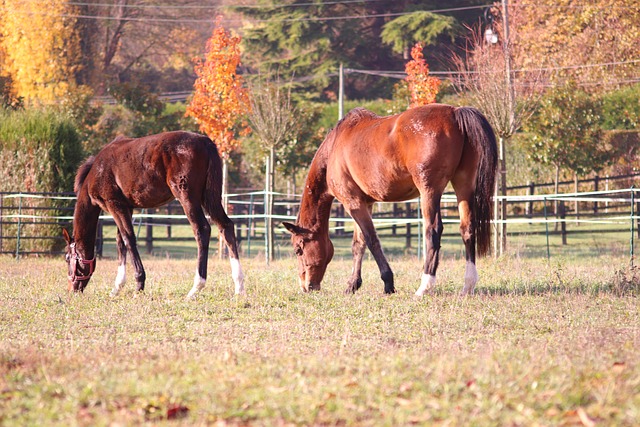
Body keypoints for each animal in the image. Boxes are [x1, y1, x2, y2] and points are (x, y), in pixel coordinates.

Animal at [63, 130, 242, 298]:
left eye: (67, 258)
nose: (72, 289)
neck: (97, 171)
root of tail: (205, 142)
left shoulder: (114, 205)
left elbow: (128, 239)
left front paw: (139, 285)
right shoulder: (127, 207)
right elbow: (120, 241)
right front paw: (117, 287)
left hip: (188, 197)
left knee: (202, 230)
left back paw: (196, 288)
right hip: (209, 198)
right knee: (226, 226)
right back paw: (239, 287)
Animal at [284, 105, 500, 296]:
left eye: (298, 250)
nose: (306, 286)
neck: (334, 149)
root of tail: (455, 112)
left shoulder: (352, 202)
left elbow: (371, 240)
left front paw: (388, 283)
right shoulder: (365, 203)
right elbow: (358, 244)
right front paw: (352, 285)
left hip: (429, 190)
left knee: (433, 230)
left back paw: (424, 287)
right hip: (463, 184)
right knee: (467, 229)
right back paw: (468, 286)